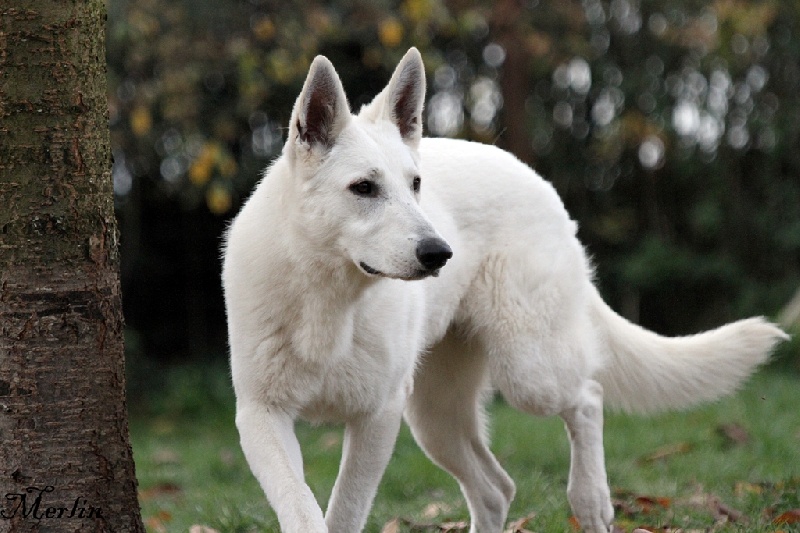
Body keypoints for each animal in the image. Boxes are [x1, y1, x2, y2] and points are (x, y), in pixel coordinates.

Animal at [222, 47, 784, 528]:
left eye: (416, 185)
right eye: (363, 187)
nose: (439, 254)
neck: (328, 301)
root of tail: (537, 180)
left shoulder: (376, 418)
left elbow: (343, 512)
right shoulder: (262, 417)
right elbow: (302, 508)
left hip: (527, 373)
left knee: (588, 397)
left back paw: (591, 501)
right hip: (435, 419)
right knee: (497, 489)